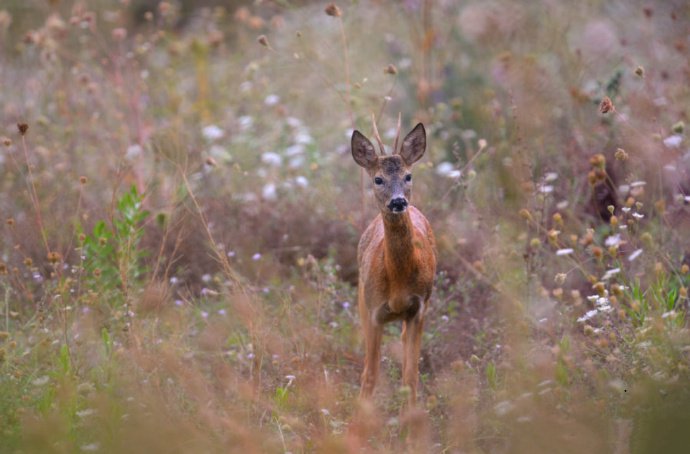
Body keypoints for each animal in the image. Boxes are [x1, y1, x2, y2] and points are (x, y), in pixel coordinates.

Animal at [350, 115, 436, 406]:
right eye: (378, 179)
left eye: (408, 175)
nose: (398, 202)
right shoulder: (373, 309)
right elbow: (369, 376)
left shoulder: (418, 308)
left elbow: (410, 378)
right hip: (361, 298)